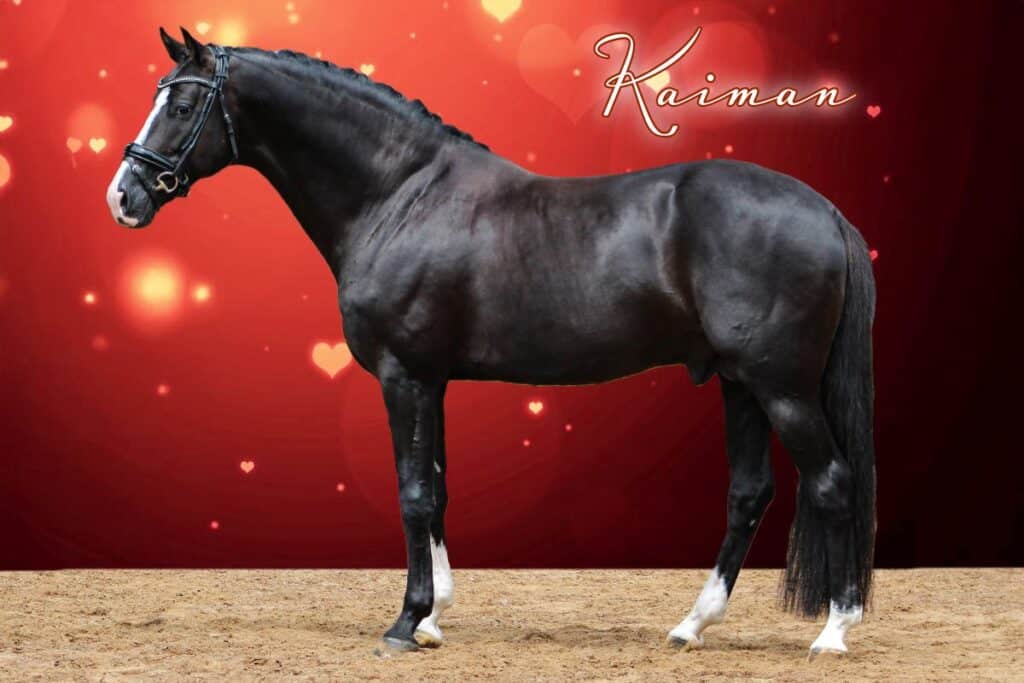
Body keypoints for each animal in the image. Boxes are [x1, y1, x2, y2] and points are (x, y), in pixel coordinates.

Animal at [107, 28, 876, 658]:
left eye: (183, 105)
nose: (124, 197)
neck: (400, 193)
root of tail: (825, 209)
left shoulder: (404, 374)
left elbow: (413, 492)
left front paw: (405, 622)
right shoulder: (434, 378)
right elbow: (439, 489)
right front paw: (434, 617)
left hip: (781, 387)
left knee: (833, 481)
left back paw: (834, 631)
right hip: (739, 382)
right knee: (749, 492)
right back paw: (693, 625)